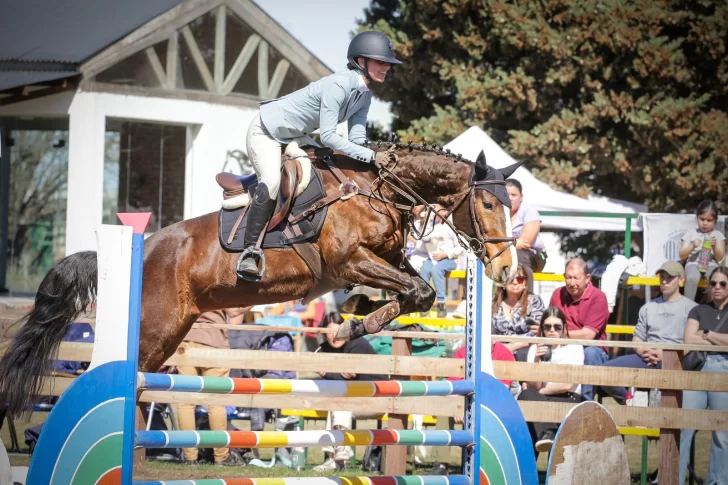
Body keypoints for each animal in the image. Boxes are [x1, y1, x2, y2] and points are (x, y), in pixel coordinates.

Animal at [0, 141, 516, 416]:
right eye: (490, 204)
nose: (507, 270)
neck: (379, 189)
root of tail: (142, 248)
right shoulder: (350, 261)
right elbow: (415, 290)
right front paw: (355, 324)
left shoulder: (387, 259)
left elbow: (419, 292)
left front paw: (354, 323)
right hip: (152, 329)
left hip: (168, 334)